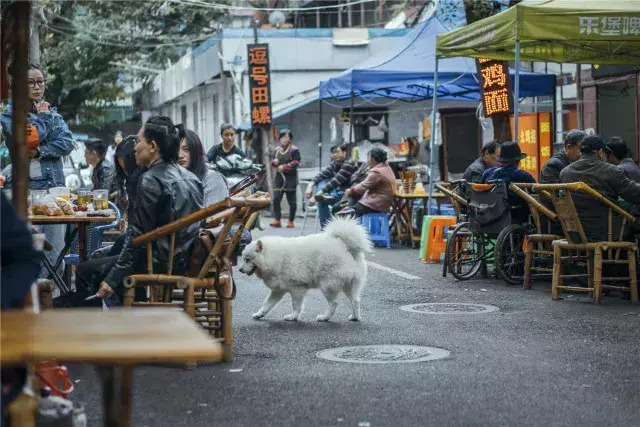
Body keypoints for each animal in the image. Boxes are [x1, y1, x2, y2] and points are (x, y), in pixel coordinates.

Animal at [239, 219, 370, 322]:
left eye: (248, 259)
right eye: (243, 258)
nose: (240, 269)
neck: (273, 257)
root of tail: (345, 247)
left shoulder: (297, 289)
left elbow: (296, 306)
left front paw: (293, 317)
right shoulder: (278, 290)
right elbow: (266, 304)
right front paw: (259, 314)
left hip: (327, 286)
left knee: (334, 303)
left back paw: (324, 317)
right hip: (349, 286)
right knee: (355, 301)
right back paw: (355, 317)